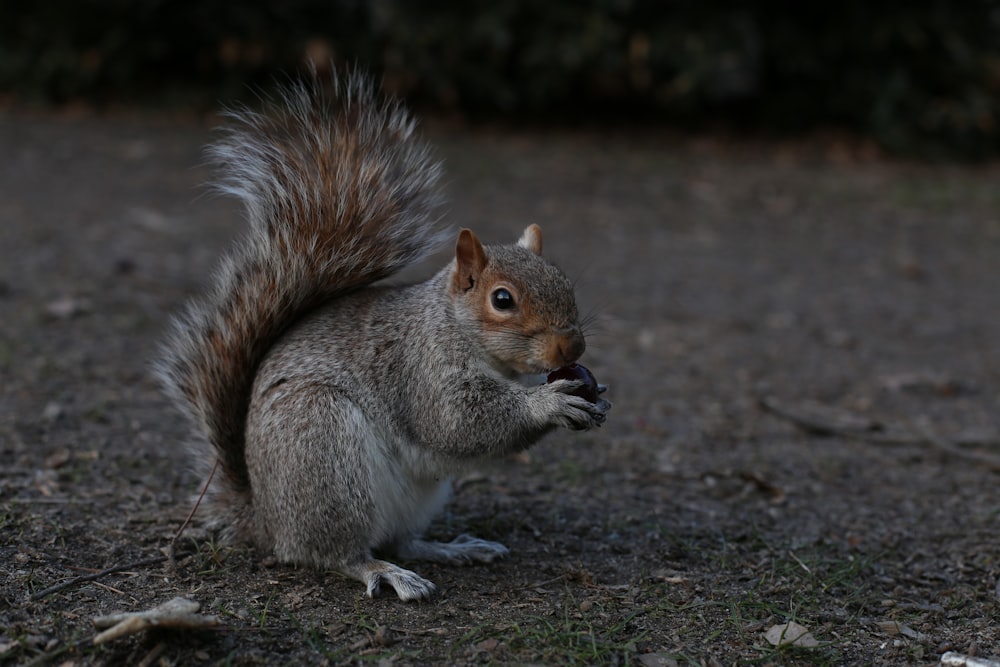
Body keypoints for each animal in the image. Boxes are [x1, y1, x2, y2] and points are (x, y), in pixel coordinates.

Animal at [156, 70, 608, 604]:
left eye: (562, 279)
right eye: (502, 299)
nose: (572, 349)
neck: (451, 325)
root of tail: (265, 518)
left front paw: (594, 393)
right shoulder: (421, 367)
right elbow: (458, 420)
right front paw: (550, 403)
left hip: (416, 495)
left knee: (402, 539)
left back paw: (450, 549)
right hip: (323, 450)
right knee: (331, 553)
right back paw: (382, 570)